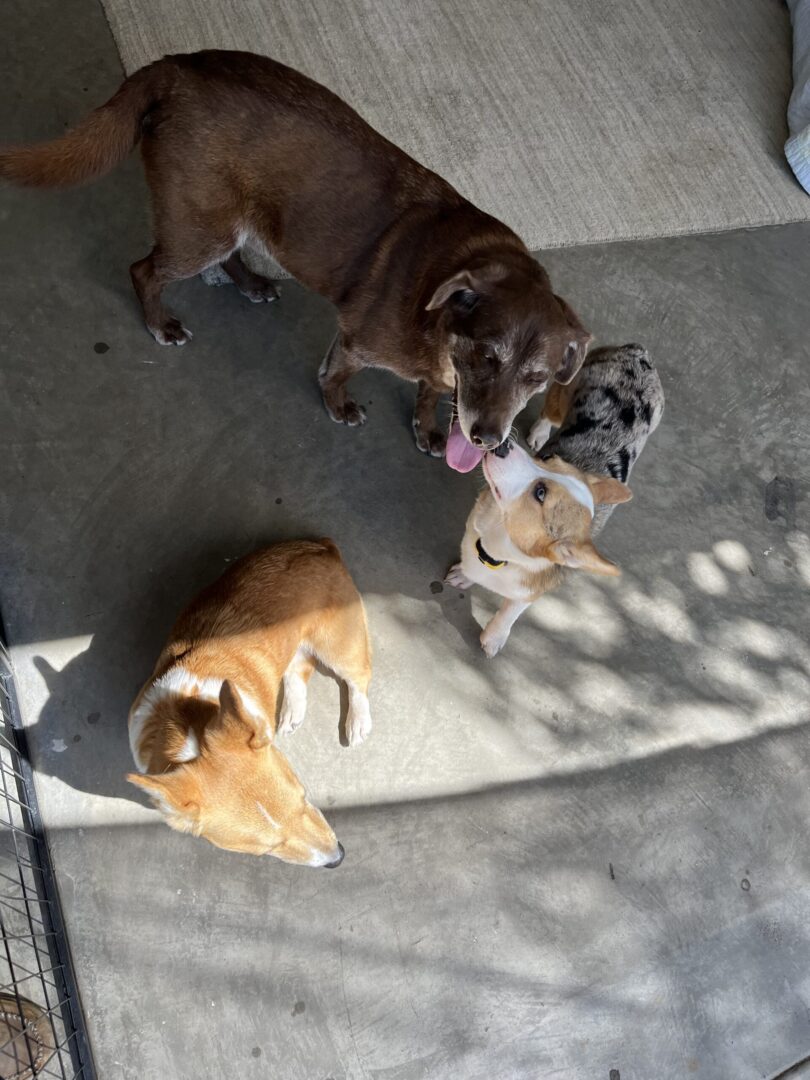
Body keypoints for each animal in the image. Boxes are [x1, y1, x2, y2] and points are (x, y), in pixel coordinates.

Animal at [1, 49, 596, 464]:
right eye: (489, 357)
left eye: (537, 379)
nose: (488, 439)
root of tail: (176, 67)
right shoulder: (357, 341)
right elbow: (336, 374)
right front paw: (338, 405)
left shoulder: (439, 374)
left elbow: (428, 394)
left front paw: (427, 427)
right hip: (199, 231)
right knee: (144, 270)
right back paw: (161, 322)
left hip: (234, 222)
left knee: (231, 255)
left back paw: (251, 283)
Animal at [126, 540, 371, 868]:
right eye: (268, 848)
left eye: (304, 796)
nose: (339, 858)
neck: (187, 723)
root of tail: (321, 547)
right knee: (298, 670)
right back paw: (291, 713)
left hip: (339, 648)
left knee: (357, 677)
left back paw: (357, 722)